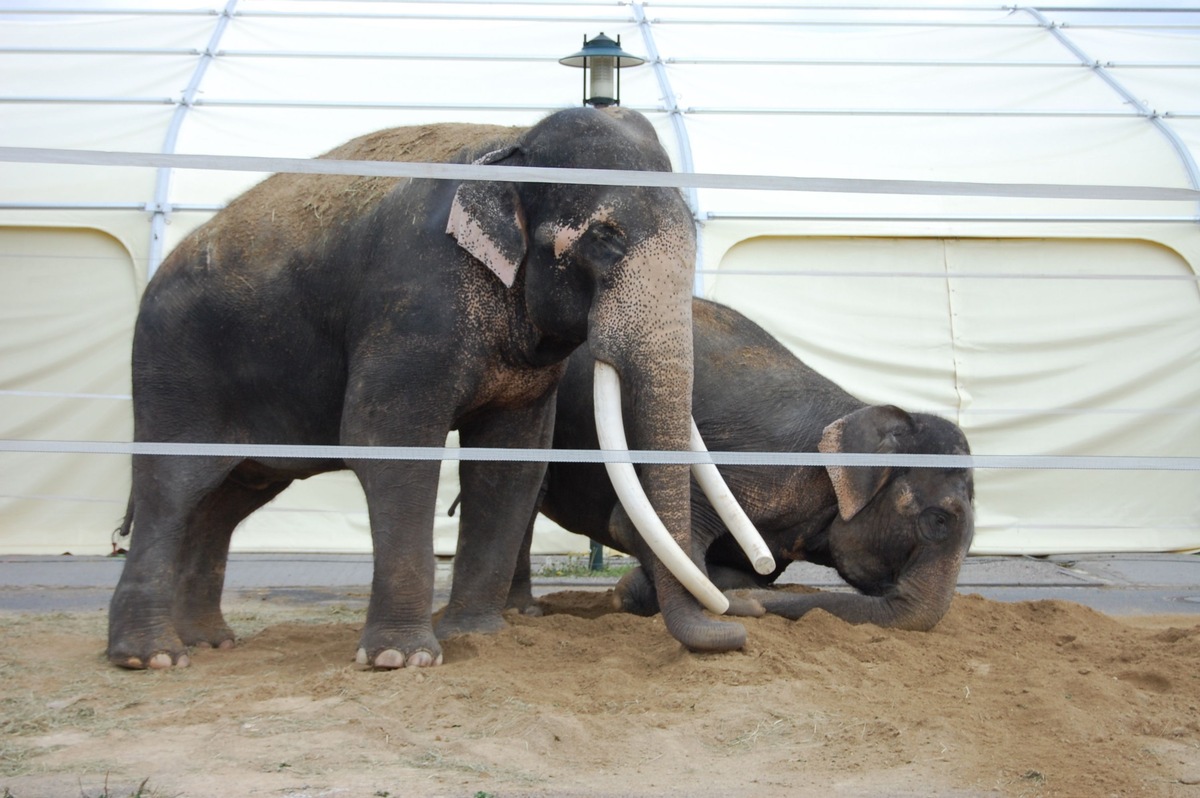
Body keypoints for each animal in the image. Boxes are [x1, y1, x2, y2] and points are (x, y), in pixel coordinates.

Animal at [110, 104, 748, 667]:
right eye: (605, 237)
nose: (736, 634)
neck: (511, 141)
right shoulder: (413, 296)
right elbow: (387, 442)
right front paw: (401, 657)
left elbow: (513, 462)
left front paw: (476, 636)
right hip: (175, 367)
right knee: (174, 485)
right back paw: (152, 656)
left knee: (227, 498)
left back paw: (210, 642)